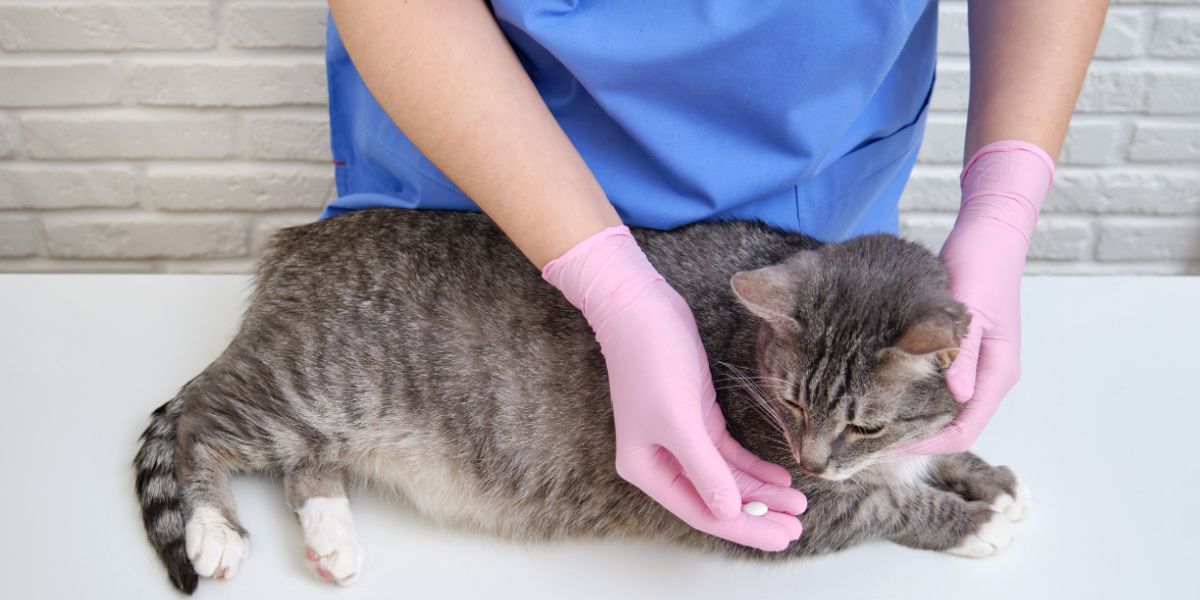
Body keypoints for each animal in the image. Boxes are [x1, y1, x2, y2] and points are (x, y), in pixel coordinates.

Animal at [133, 208, 1032, 592]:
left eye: (864, 422)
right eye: (790, 405)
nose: (812, 460)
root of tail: (301, 237)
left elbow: (931, 451)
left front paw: (981, 473)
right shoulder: (788, 508)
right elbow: (888, 507)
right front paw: (970, 520)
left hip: (326, 409)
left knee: (304, 465)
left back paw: (331, 534)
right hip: (312, 382)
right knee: (204, 414)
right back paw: (215, 528)